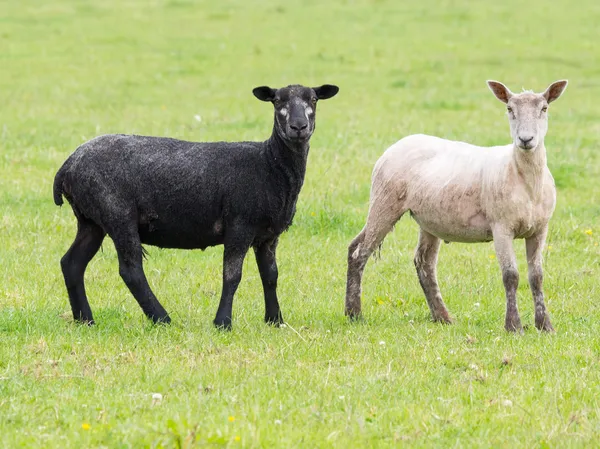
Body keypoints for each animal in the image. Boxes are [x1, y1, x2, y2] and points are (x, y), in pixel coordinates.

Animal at [54, 84, 340, 328]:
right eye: (278, 101)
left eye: (313, 100)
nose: (298, 126)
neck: (269, 164)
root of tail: (67, 167)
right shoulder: (240, 224)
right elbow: (232, 275)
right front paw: (223, 322)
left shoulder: (269, 235)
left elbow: (270, 276)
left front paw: (275, 320)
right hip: (116, 213)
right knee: (131, 271)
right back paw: (162, 319)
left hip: (91, 219)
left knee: (72, 263)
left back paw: (85, 320)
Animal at [346, 79, 568, 332]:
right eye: (510, 109)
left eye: (544, 109)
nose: (526, 140)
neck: (525, 180)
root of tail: (398, 143)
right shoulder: (501, 227)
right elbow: (510, 275)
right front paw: (513, 326)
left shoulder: (540, 229)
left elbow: (537, 276)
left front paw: (545, 325)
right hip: (385, 201)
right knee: (359, 252)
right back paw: (354, 313)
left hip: (428, 219)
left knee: (422, 262)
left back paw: (442, 316)